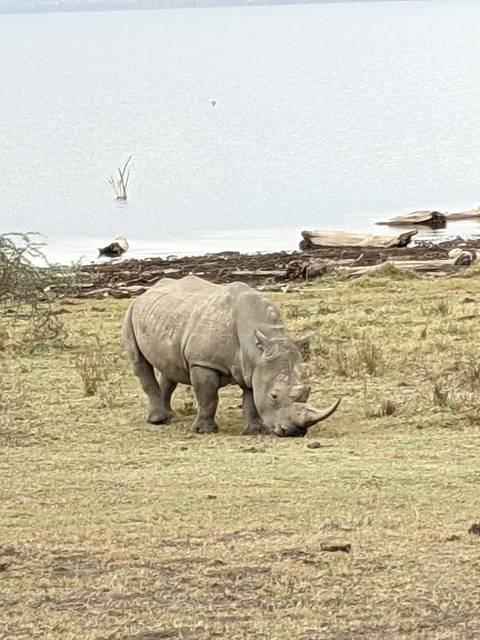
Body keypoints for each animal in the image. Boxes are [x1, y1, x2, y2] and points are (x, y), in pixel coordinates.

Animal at [123, 276, 340, 437]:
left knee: (169, 369)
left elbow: (251, 400)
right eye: (274, 395)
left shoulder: (253, 367)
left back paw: (169, 415)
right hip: (131, 311)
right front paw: (204, 431)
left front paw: (255, 431)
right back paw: (158, 421)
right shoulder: (203, 363)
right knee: (140, 363)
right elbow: (208, 398)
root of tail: (147, 292)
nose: (295, 432)